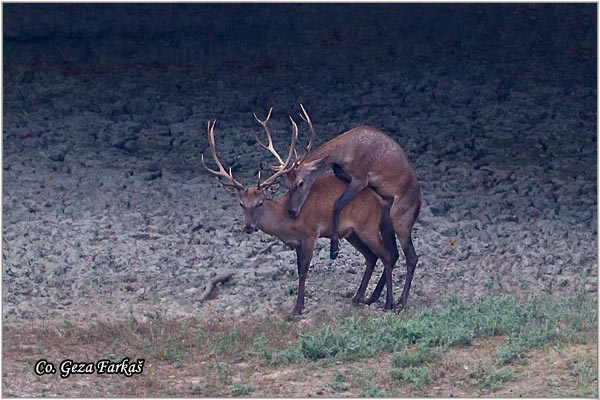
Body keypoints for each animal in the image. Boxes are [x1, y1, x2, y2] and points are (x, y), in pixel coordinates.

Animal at [202, 115, 398, 316]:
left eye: (260, 202)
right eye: (241, 204)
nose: (248, 227)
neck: (286, 223)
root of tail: (380, 200)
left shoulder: (310, 234)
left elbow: (304, 271)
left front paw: (297, 308)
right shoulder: (296, 242)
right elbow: (298, 270)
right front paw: (298, 305)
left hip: (368, 227)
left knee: (386, 255)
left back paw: (388, 303)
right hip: (352, 233)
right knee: (371, 257)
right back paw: (358, 297)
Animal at [282, 105, 420, 310]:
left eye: (300, 183)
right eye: (286, 184)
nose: (291, 211)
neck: (345, 152)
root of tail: (419, 204)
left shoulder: (360, 177)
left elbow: (338, 204)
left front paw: (334, 250)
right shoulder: (344, 173)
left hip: (401, 217)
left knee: (411, 256)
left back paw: (400, 302)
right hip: (386, 221)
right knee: (394, 253)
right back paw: (372, 297)